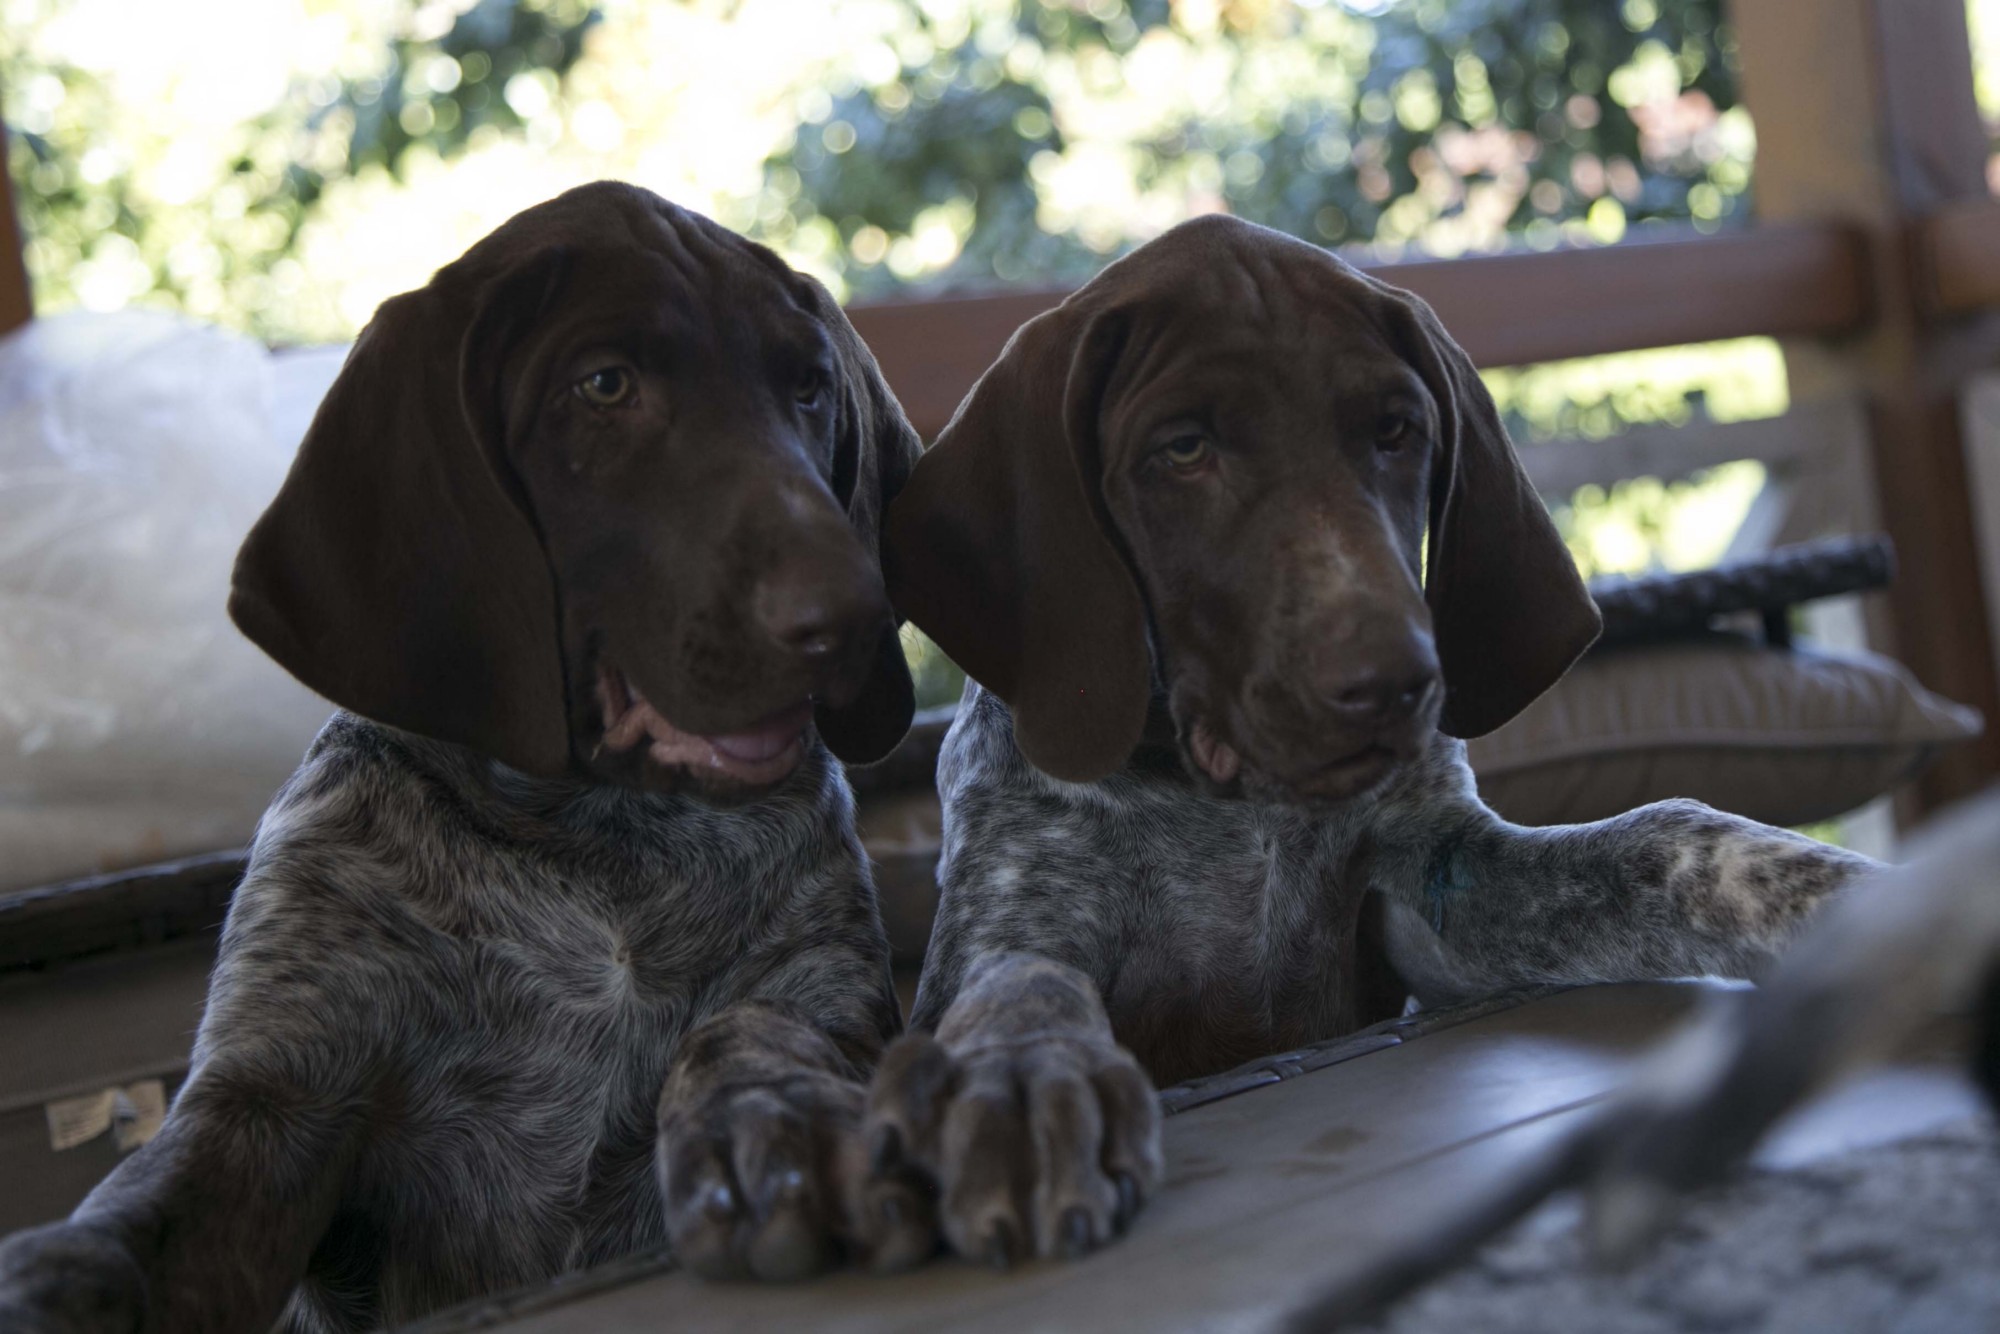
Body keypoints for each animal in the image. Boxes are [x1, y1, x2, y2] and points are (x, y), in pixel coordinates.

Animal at [876, 214, 1872, 1272]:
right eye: (1183, 449)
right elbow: (1020, 979)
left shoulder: (1432, 887)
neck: (1229, 801)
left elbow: (1671, 834)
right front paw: (1019, 1081)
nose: (1397, 684)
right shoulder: (1016, 909)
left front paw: (1857, 903)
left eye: (1396, 432)